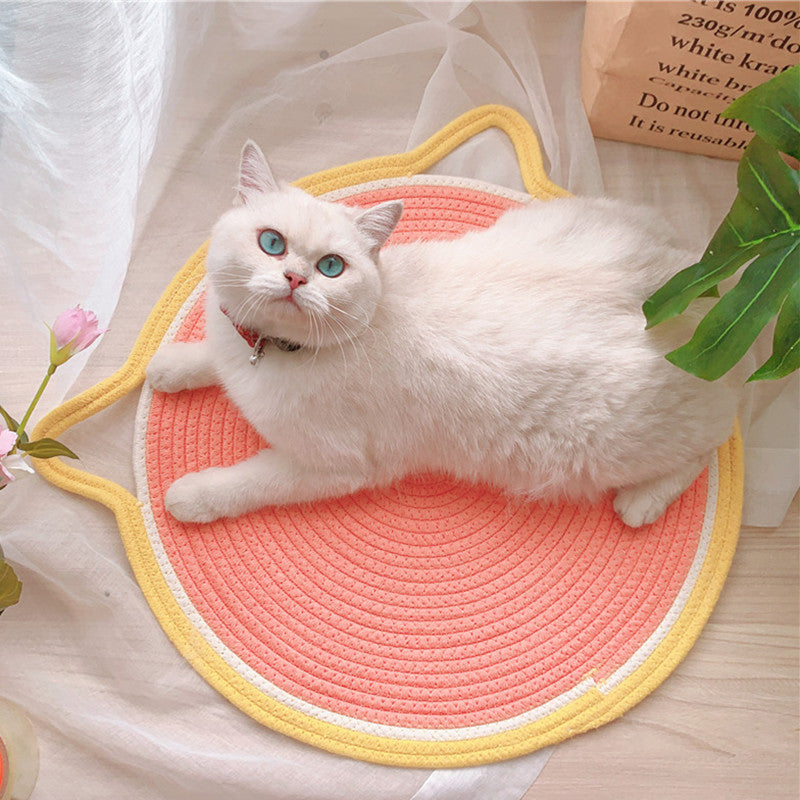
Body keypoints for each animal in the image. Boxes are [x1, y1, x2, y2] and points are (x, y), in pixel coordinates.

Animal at [145, 142, 744, 532]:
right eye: (272, 243)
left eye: (331, 267)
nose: (295, 279)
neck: (267, 353)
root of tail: (700, 282)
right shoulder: (234, 339)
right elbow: (209, 353)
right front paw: (170, 365)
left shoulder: (332, 467)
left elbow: (249, 481)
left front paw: (191, 496)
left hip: (614, 444)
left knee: (707, 447)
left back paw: (641, 504)